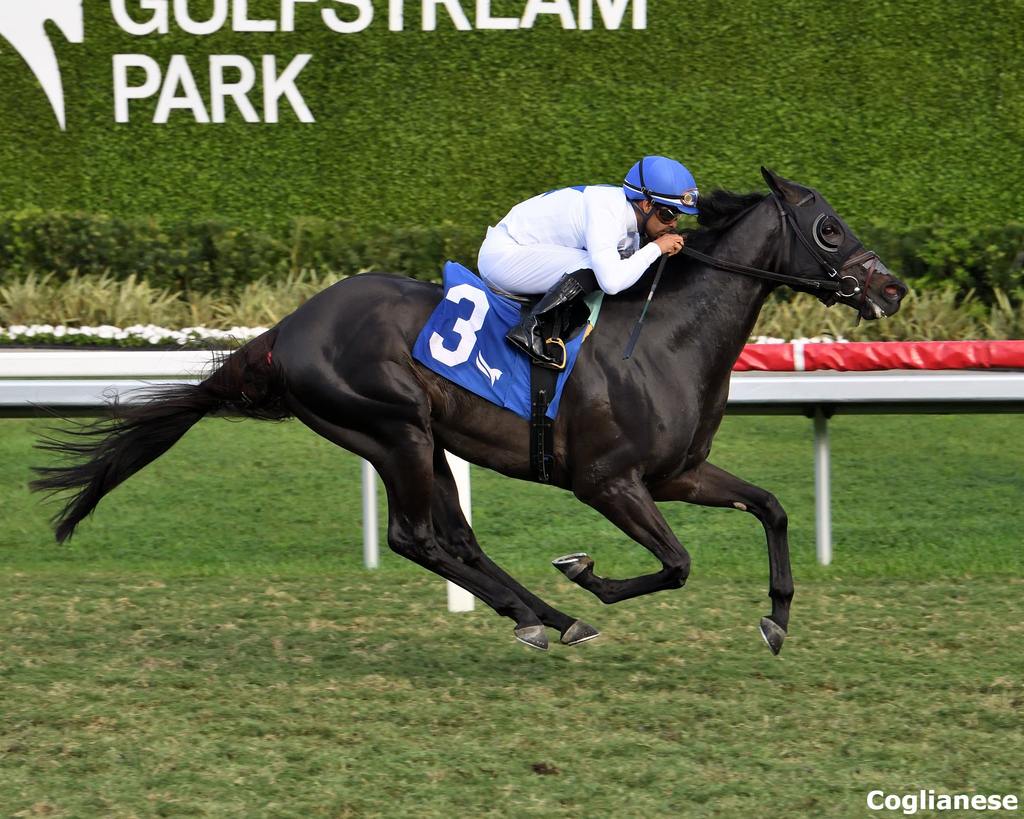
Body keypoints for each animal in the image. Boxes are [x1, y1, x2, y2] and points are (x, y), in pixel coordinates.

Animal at [36, 169, 909, 655]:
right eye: (829, 227)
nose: (893, 288)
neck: (665, 333)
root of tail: (287, 329)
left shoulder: (677, 472)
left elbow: (772, 506)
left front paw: (779, 618)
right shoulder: (607, 481)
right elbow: (676, 563)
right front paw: (586, 572)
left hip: (422, 438)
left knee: (456, 538)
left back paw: (546, 617)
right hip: (392, 428)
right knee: (416, 536)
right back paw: (547, 611)